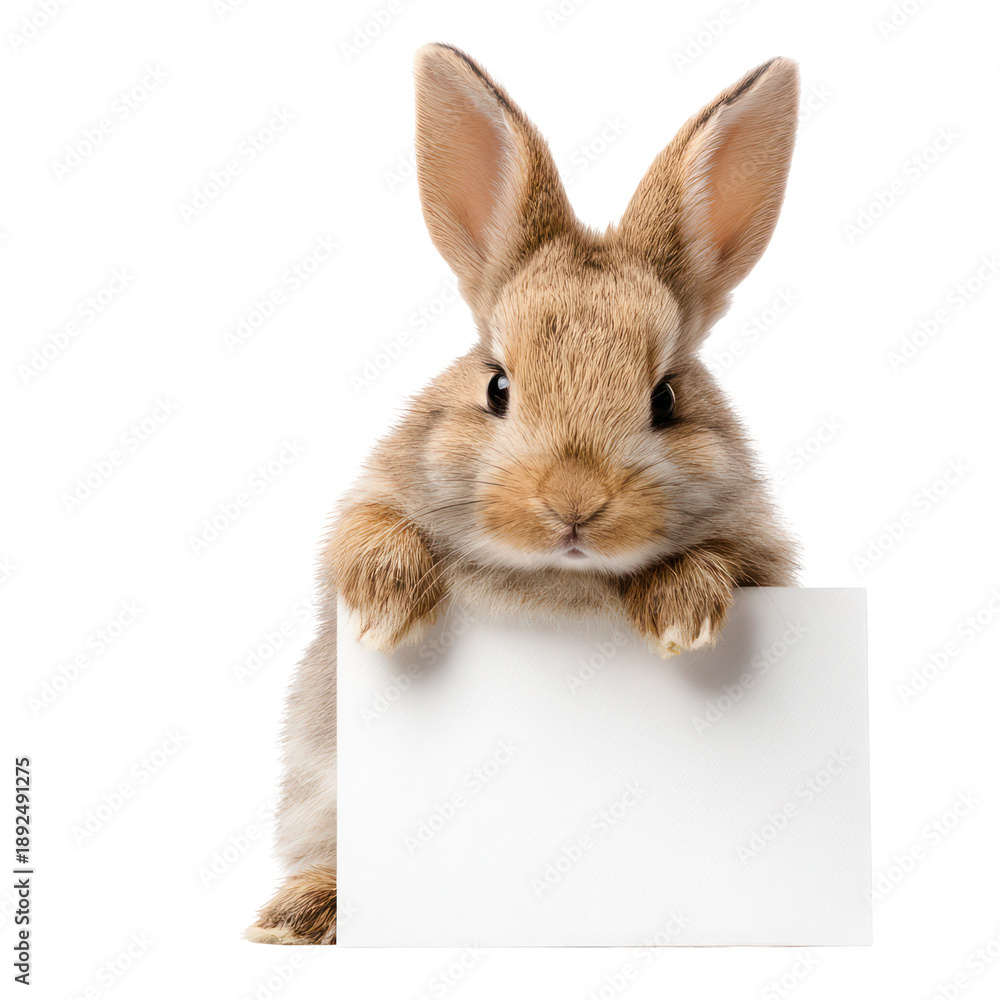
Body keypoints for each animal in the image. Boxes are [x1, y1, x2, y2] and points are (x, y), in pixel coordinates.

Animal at [246, 43, 800, 945]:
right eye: (497, 386)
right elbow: (365, 534)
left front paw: (680, 611)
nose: (573, 503)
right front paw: (386, 609)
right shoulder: (370, 501)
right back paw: (302, 912)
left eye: (666, 398)